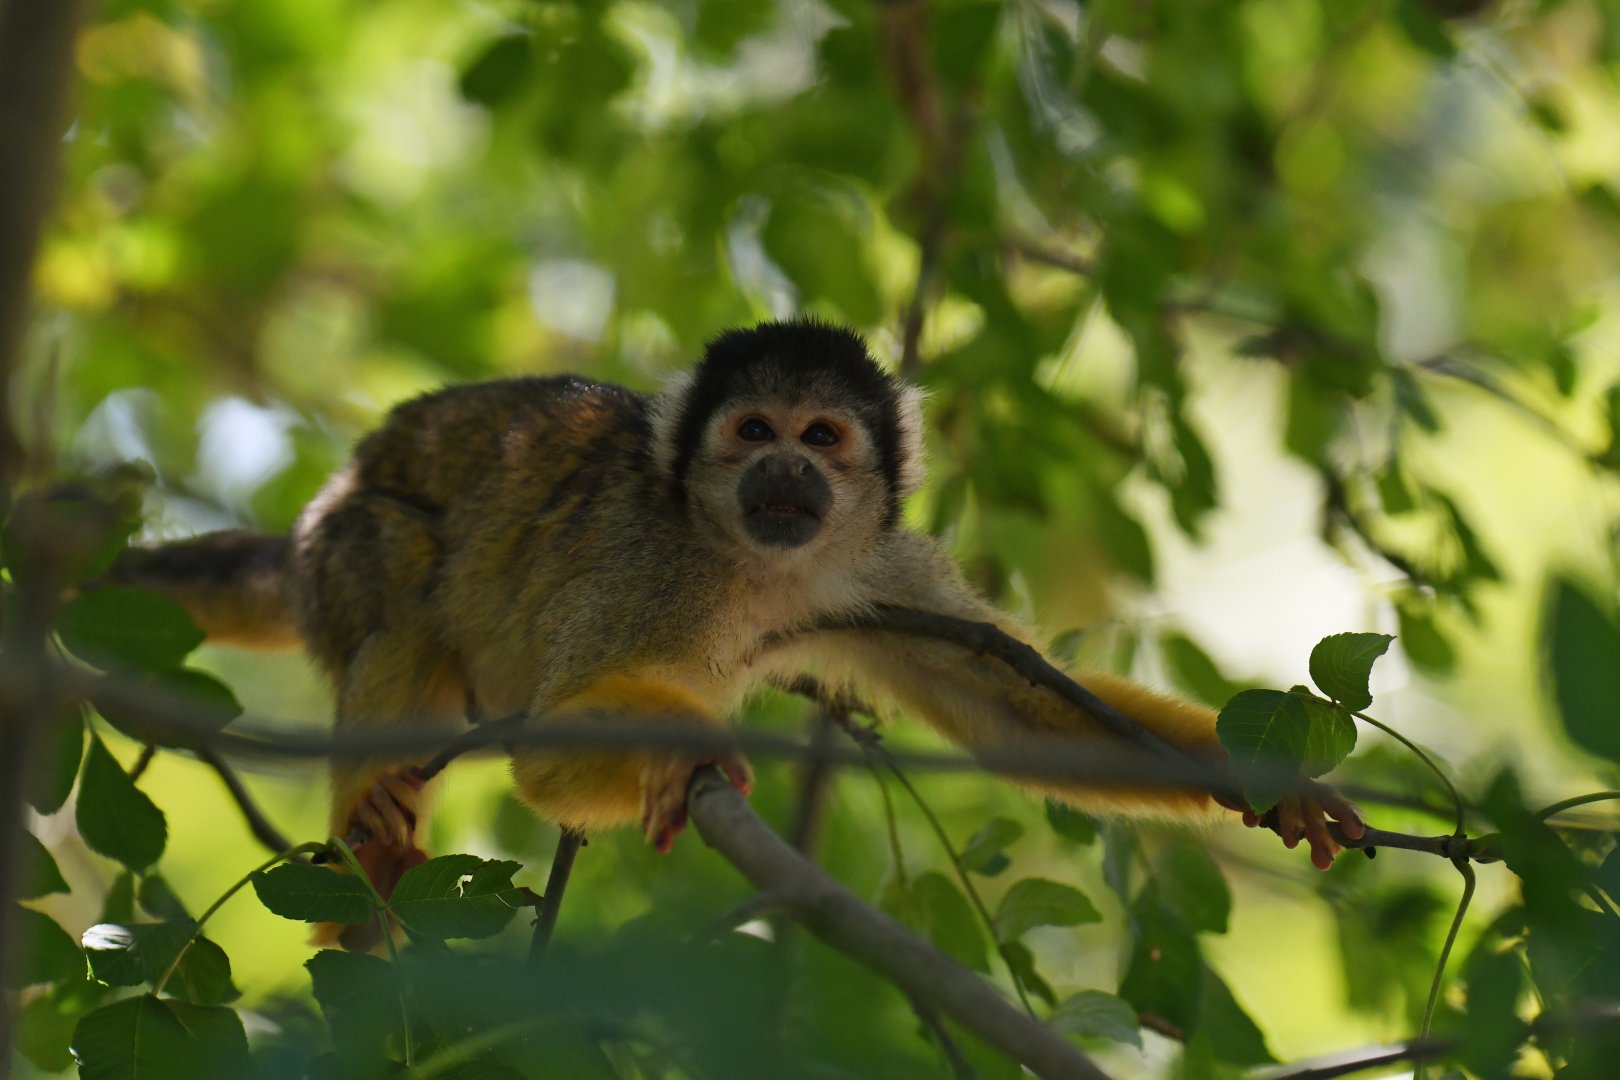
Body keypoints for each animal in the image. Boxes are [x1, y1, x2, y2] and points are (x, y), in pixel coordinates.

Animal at [112, 318, 1363, 912]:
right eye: (753, 432)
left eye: (823, 440)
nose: (786, 478)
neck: (753, 563)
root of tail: (315, 515)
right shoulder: (646, 562)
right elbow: (554, 738)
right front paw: (686, 757)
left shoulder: (880, 567)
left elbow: (1007, 710)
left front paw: (1276, 780)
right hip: (346, 551)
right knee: (407, 583)